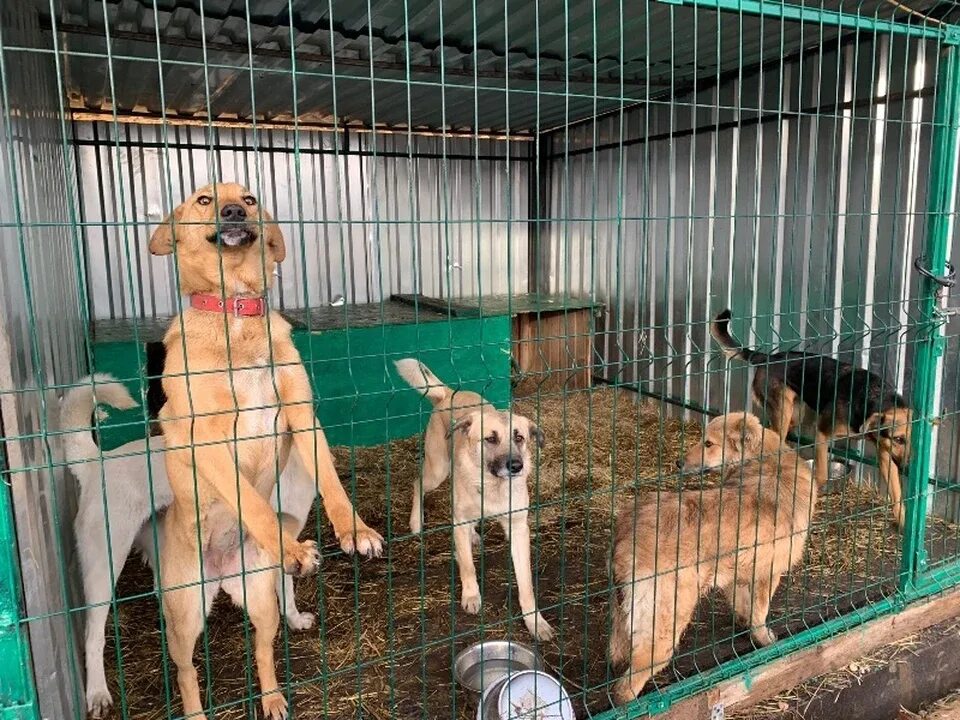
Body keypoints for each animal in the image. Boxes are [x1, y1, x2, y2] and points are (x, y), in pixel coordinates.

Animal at [67, 374, 322, 716]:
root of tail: (97, 463)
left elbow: (286, 587)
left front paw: (294, 619)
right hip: (103, 567)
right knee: (93, 633)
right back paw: (97, 693)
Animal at [150, 184, 382, 720]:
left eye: (251, 197)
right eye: (203, 199)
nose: (234, 210)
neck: (237, 314)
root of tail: (222, 575)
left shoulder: (301, 412)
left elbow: (331, 480)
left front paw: (355, 530)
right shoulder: (208, 438)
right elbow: (250, 501)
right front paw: (289, 547)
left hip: (261, 602)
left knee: (261, 650)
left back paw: (274, 699)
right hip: (184, 618)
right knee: (187, 671)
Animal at [392, 360, 552, 640]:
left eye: (519, 437)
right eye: (490, 439)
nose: (517, 466)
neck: (492, 486)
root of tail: (447, 392)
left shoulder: (518, 528)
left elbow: (526, 583)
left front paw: (535, 621)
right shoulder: (458, 519)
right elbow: (467, 565)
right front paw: (471, 595)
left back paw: (473, 535)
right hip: (437, 470)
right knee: (417, 483)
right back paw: (416, 523)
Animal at [612, 414, 812, 704]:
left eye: (708, 443)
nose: (678, 463)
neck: (764, 460)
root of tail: (629, 527)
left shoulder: (739, 571)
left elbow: (744, 607)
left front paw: (743, 623)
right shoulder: (768, 572)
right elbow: (760, 614)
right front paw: (765, 641)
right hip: (666, 624)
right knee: (626, 685)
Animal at [708, 310, 912, 528]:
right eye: (899, 439)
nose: (908, 468)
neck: (874, 396)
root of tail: (769, 357)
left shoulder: (886, 454)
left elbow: (897, 493)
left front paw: (904, 523)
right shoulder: (822, 432)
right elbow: (821, 473)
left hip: (794, 416)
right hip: (783, 412)